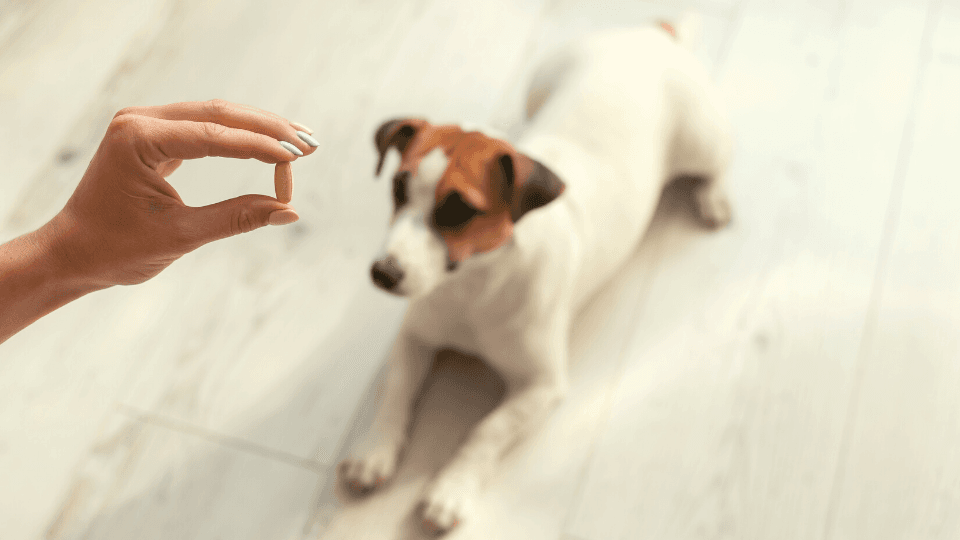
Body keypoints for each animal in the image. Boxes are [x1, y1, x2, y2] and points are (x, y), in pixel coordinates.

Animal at [338, 13, 728, 536]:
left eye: (458, 209)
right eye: (398, 189)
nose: (382, 273)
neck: (471, 289)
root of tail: (651, 33)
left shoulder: (542, 386)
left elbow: (487, 429)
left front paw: (451, 488)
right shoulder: (414, 337)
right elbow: (396, 391)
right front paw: (375, 450)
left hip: (702, 140)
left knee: (717, 164)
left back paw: (714, 196)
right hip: (539, 84)